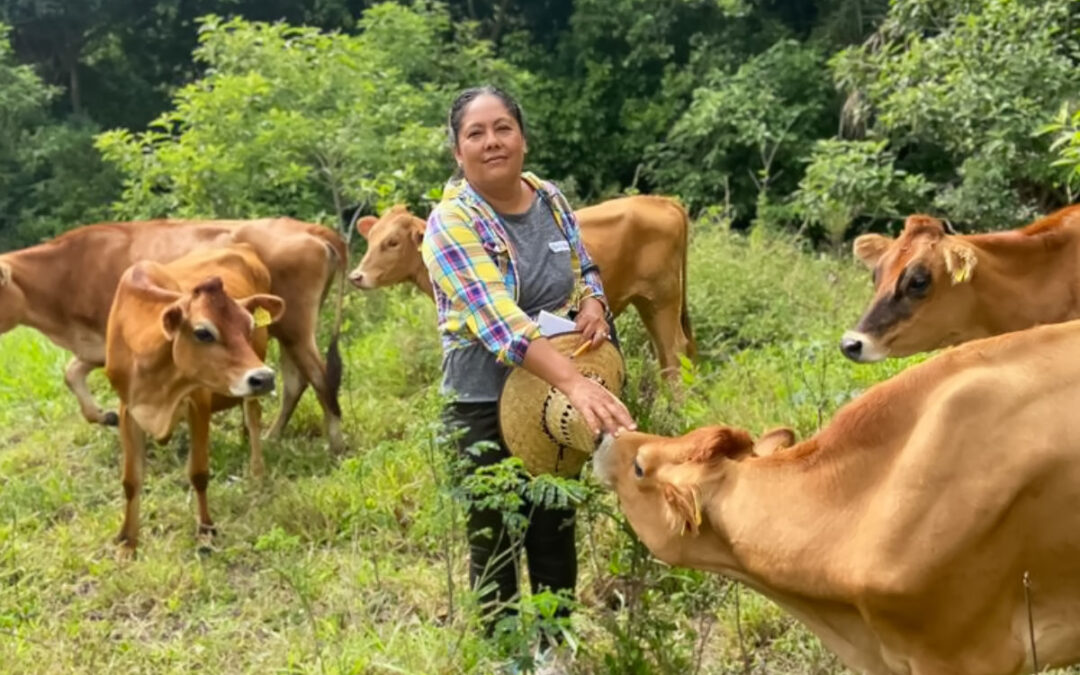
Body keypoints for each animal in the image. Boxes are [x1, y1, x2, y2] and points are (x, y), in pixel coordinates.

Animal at [0, 216, 341, 449]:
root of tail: (311, 229)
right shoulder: (97, 347)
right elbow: (71, 375)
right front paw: (105, 416)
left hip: (296, 326)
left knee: (319, 376)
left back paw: (335, 443)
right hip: (286, 329)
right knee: (295, 382)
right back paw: (272, 435)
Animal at [349, 194, 695, 373]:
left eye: (392, 242)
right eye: (371, 238)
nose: (356, 276)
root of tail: (662, 200)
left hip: (663, 297)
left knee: (674, 349)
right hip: (647, 301)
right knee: (666, 354)